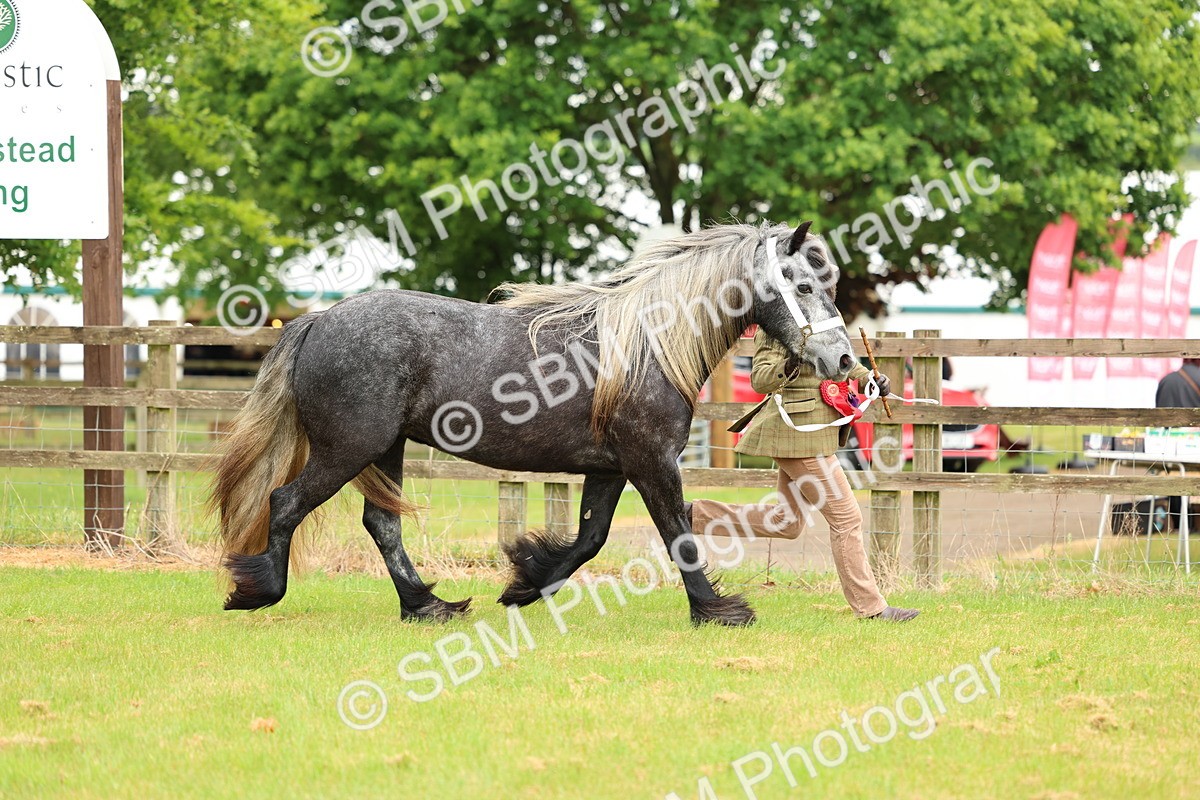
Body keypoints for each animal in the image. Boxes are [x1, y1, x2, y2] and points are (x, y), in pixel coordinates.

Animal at [212, 221, 855, 626]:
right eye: (803, 285)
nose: (846, 361)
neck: (647, 345)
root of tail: (318, 320)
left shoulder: (611, 469)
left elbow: (590, 540)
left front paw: (524, 583)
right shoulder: (651, 462)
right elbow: (677, 533)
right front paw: (717, 611)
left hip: (383, 450)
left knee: (381, 524)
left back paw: (427, 606)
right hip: (348, 448)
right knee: (285, 501)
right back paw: (259, 591)